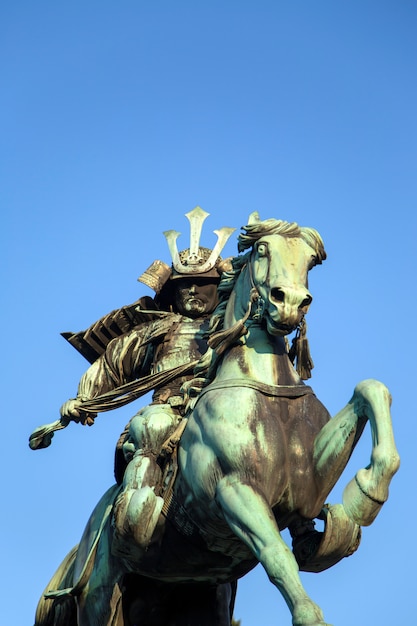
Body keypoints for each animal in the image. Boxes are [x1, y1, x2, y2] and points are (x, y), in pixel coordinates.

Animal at [34, 214, 398, 624]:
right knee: (150, 432)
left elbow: (372, 389)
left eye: (311, 259)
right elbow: (276, 555)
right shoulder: (234, 489)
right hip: (99, 598)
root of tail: (79, 552)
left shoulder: (309, 483)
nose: (289, 303)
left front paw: (365, 495)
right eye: (262, 249)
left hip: (196, 599)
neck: (264, 387)